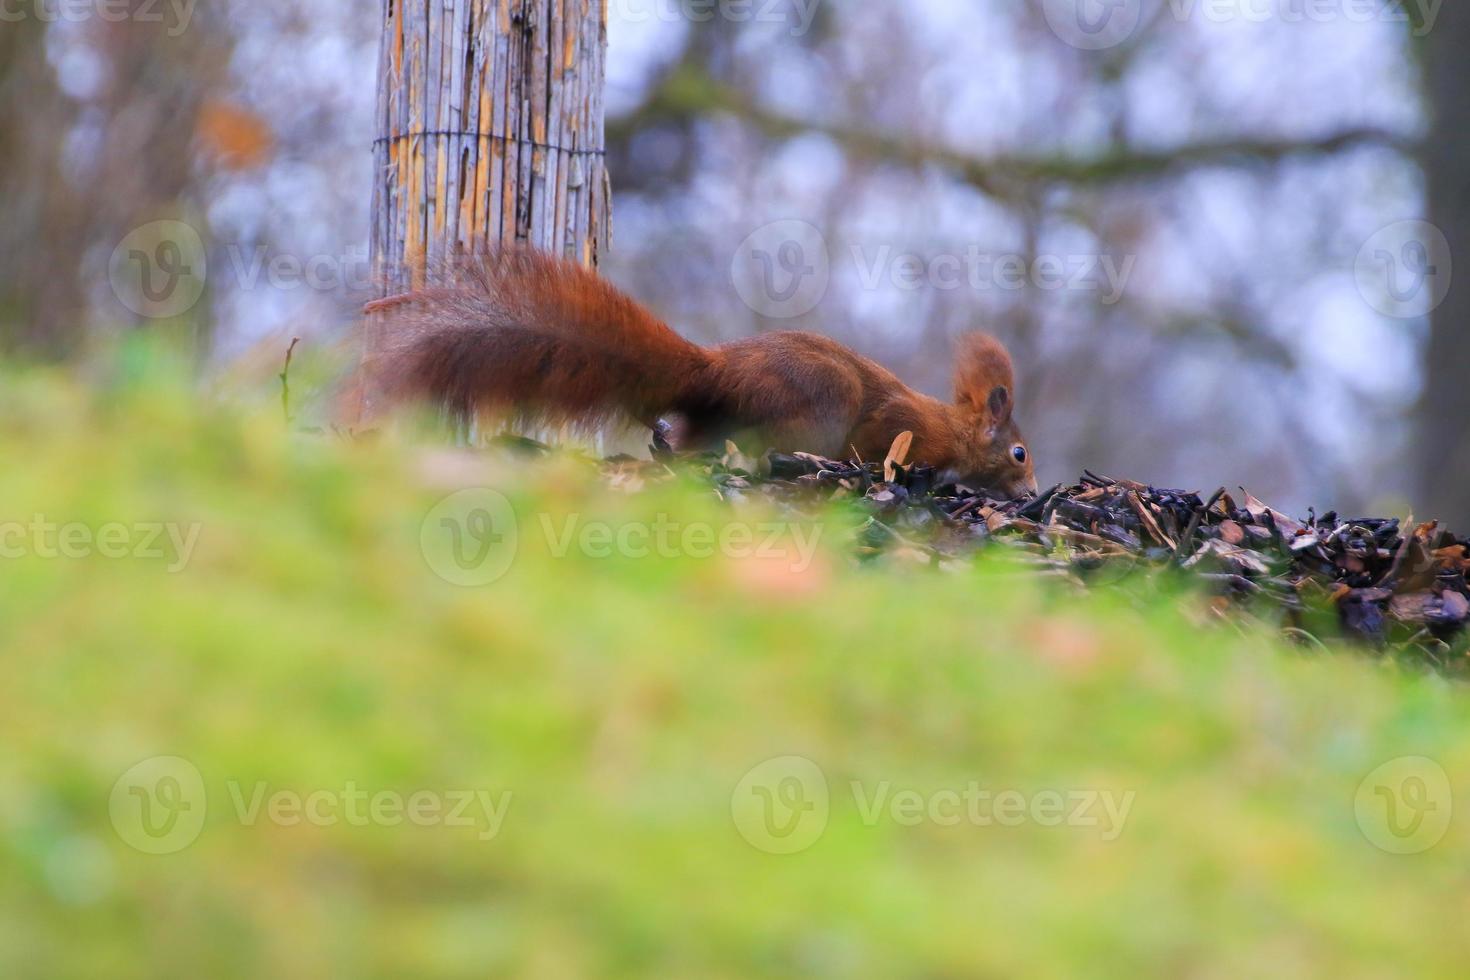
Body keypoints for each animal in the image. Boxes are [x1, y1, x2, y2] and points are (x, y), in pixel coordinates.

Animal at [366, 249, 1034, 493]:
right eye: (1020, 453)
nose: (1030, 493)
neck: (952, 428)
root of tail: (718, 373)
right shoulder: (897, 429)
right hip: (807, 409)